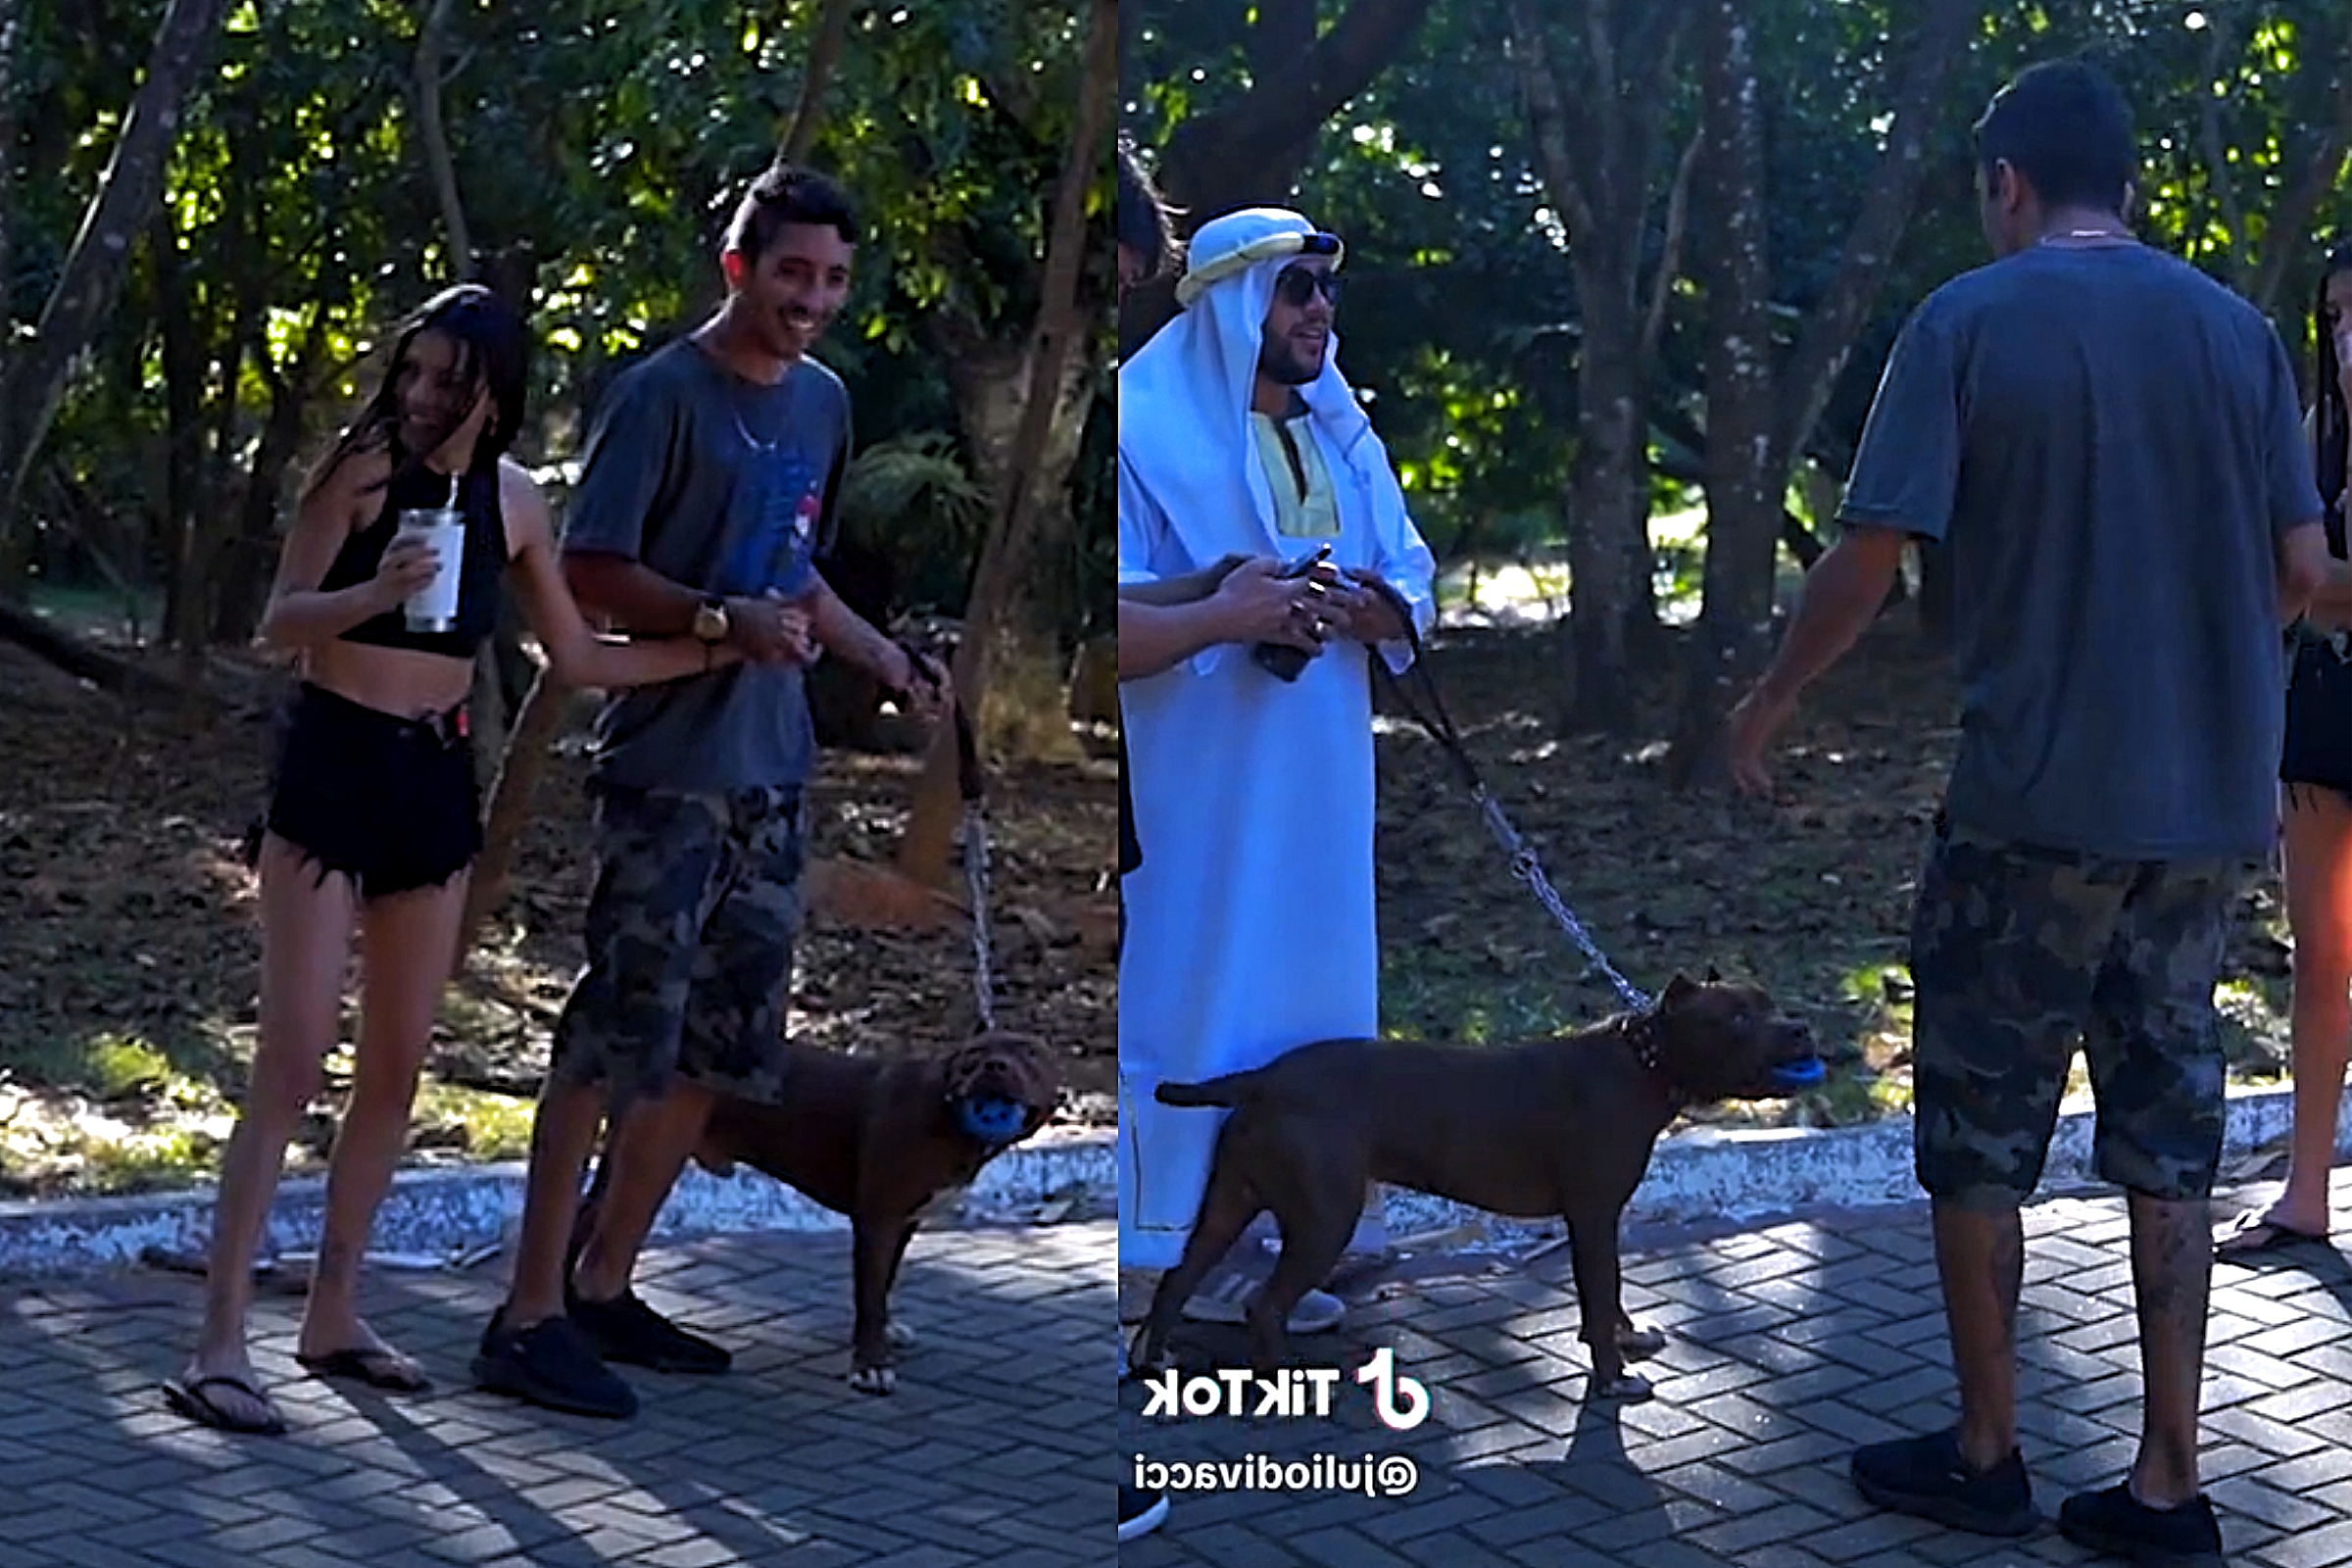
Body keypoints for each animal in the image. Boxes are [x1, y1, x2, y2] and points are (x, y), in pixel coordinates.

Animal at [686, 1034, 1062, 1392]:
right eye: (975, 1054)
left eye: (1030, 1053)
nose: (996, 1066)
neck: (946, 1115)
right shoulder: (878, 1220)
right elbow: (869, 1294)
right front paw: (870, 1365)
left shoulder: (903, 1222)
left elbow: (884, 1284)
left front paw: (885, 1330)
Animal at [1133, 973, 1815, 1400]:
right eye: (1738, 1017)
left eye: (1771, 1001)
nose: (1802, 1027)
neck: (1646, 1057)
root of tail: (1262, 1079)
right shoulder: (1592, 1216)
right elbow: (1598, 1297)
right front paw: (1612, 1375)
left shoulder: (1603, 1221)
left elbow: (1612, 1292)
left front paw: (1625, 1336)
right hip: (1326, 1220)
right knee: (1265, 1304)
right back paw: (1283, 1378)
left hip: (1229, 1202)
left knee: (1178, 1277)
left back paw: (1151, 1357)